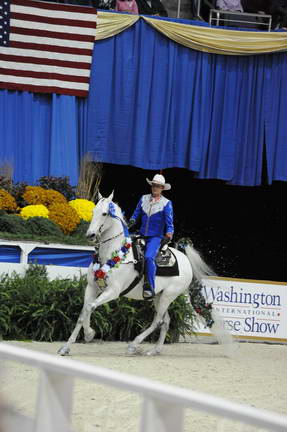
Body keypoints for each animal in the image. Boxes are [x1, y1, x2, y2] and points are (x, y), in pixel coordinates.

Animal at [58, 192, 230, 358]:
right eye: (93, 211)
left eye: (105, 213)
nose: (90, 235)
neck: (112, 254)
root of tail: (185, 259)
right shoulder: (91, 288)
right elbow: (83, 312)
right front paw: (66, 348)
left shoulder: (112, 292)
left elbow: (90, 308)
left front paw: (89, 334)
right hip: (158, 297)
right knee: (166, 321)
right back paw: (154, 350)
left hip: (168, 296)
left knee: (158, 321)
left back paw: (133, 345)